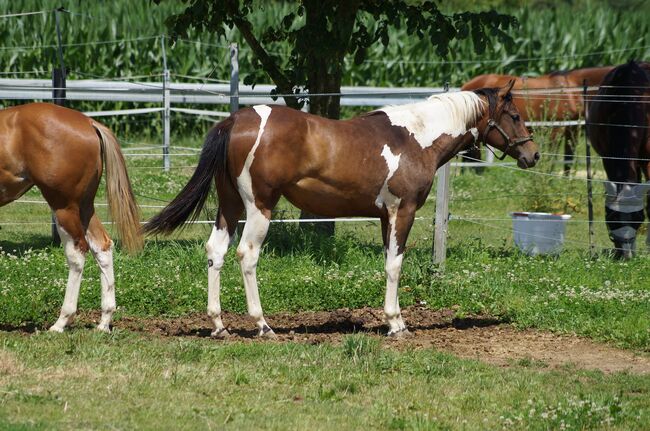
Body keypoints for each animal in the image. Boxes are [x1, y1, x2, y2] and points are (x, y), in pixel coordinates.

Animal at [0, 103, 141, 332]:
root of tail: (89, 123)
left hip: (63, 207)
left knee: (77, 254)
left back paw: (61, 321)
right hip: (84, 208)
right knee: (102, 246)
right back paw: (104, 321)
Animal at [146, 81, 536, 338]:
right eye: (515, 115)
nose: (533, 155)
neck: (416, 137)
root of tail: (236, 121)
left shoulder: (385, 217)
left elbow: (388, 263)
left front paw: (391, 319)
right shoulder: (403, 212)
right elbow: (395, 266)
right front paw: (397, 324)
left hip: (229, 206)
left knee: (216, 251)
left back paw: (218, 325)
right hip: (259, 207)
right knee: (247, 255)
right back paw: (262, 325)